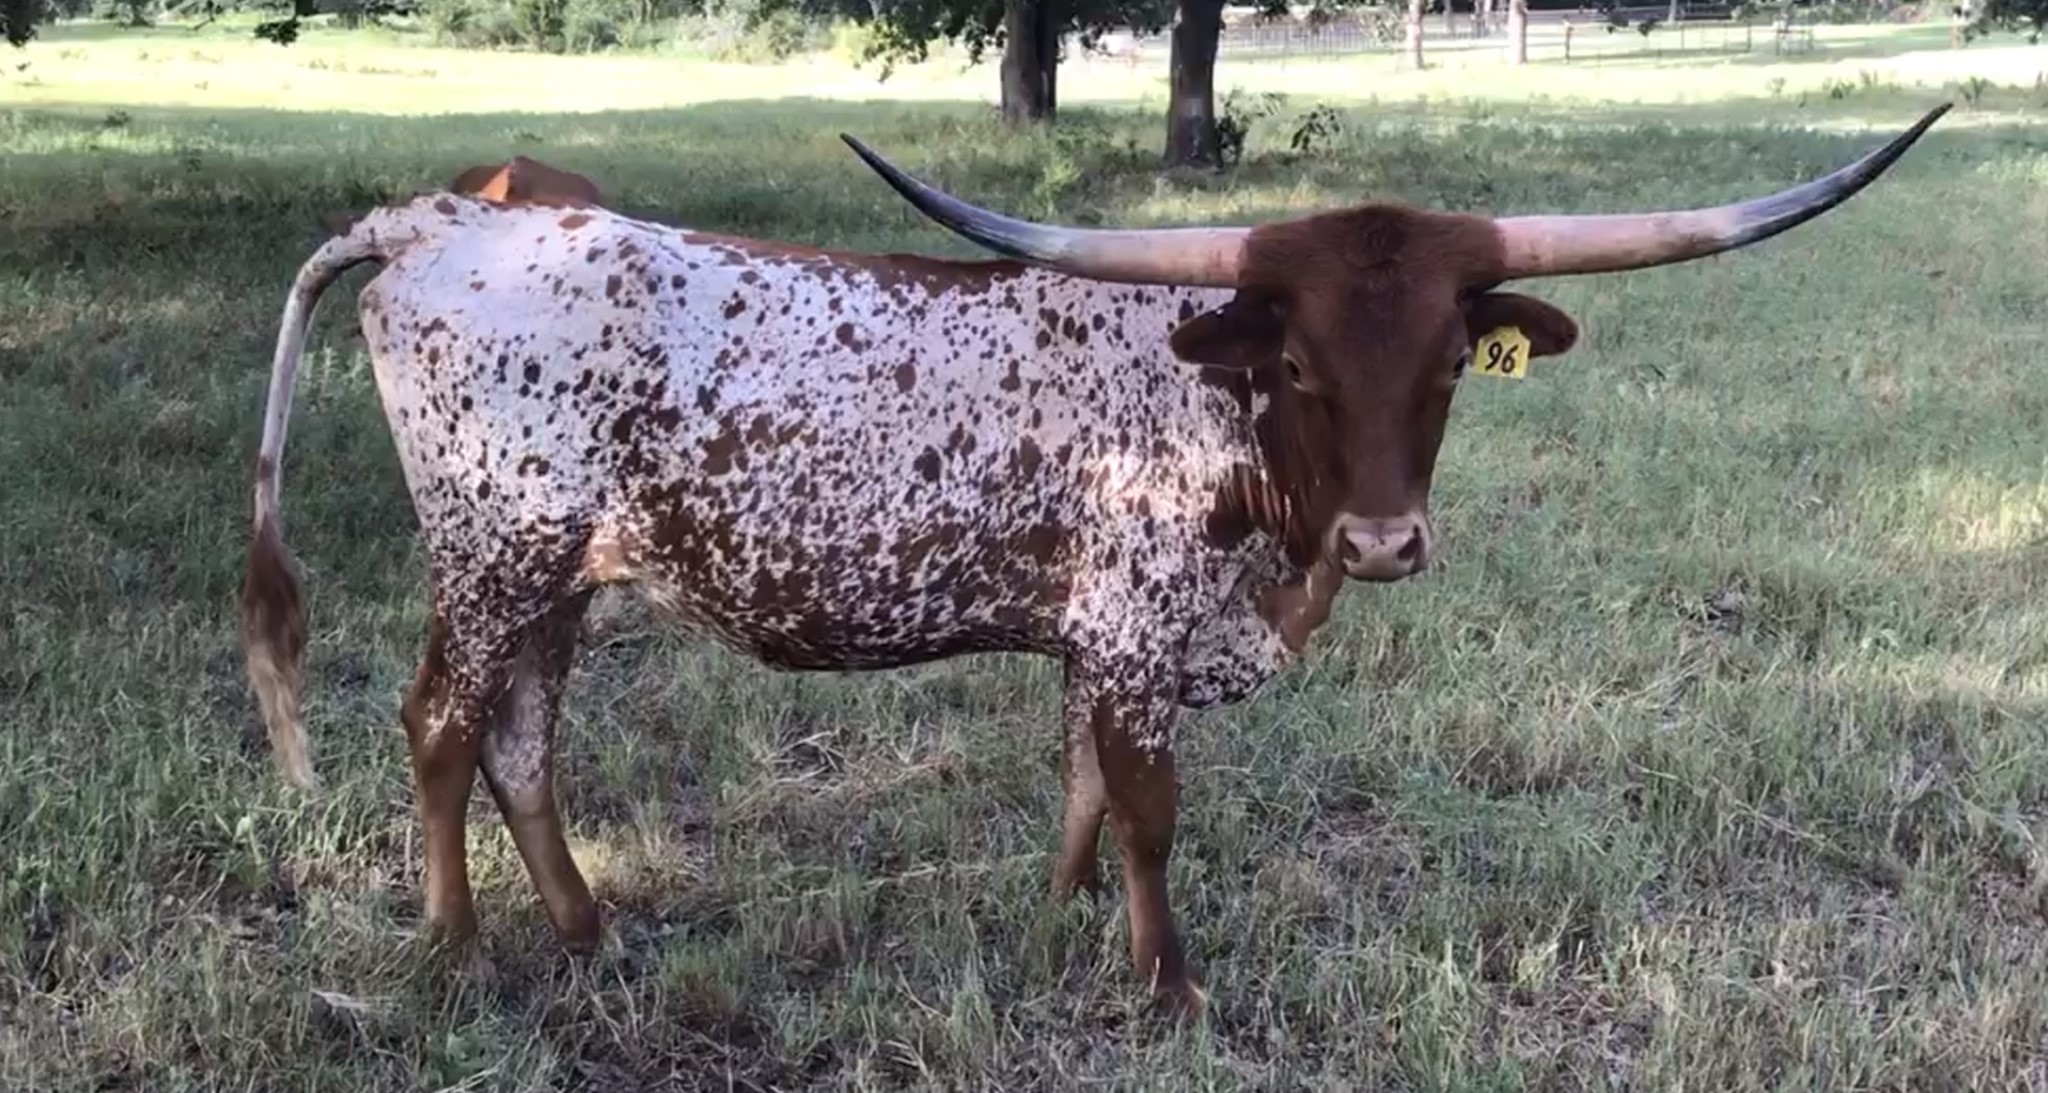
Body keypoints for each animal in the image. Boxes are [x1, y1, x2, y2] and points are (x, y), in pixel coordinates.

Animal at [240, 104, 1947, 1019]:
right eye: (1301, 365)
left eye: (1454, 362)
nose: (1386, 540)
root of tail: (438, 221)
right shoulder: (1135, 636)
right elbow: (1147, 808)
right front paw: (1170, 983)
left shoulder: (1100, 638)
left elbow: (1076, 787)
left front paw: (1059, 925)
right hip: (495, 554)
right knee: (442, 724)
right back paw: (457, 947)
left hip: (566, 576)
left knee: (525, 739)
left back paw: (590, 931)